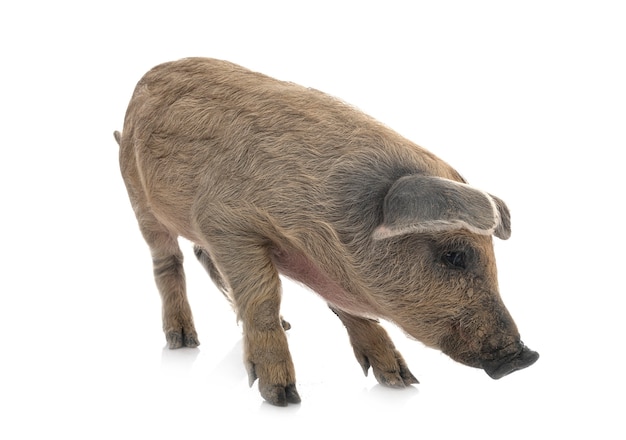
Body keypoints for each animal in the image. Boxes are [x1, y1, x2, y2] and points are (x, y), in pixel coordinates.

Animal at [116, 56, 536, 408]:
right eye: (455, 256)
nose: (525, 356)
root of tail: (140, 85)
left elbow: (346, 307)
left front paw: (401, 381)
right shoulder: (225, 222)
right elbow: (264, 298)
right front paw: (283, 397)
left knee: (202, 256)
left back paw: (285, 325)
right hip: (138, 199)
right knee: (168, 260)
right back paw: (183, 342)